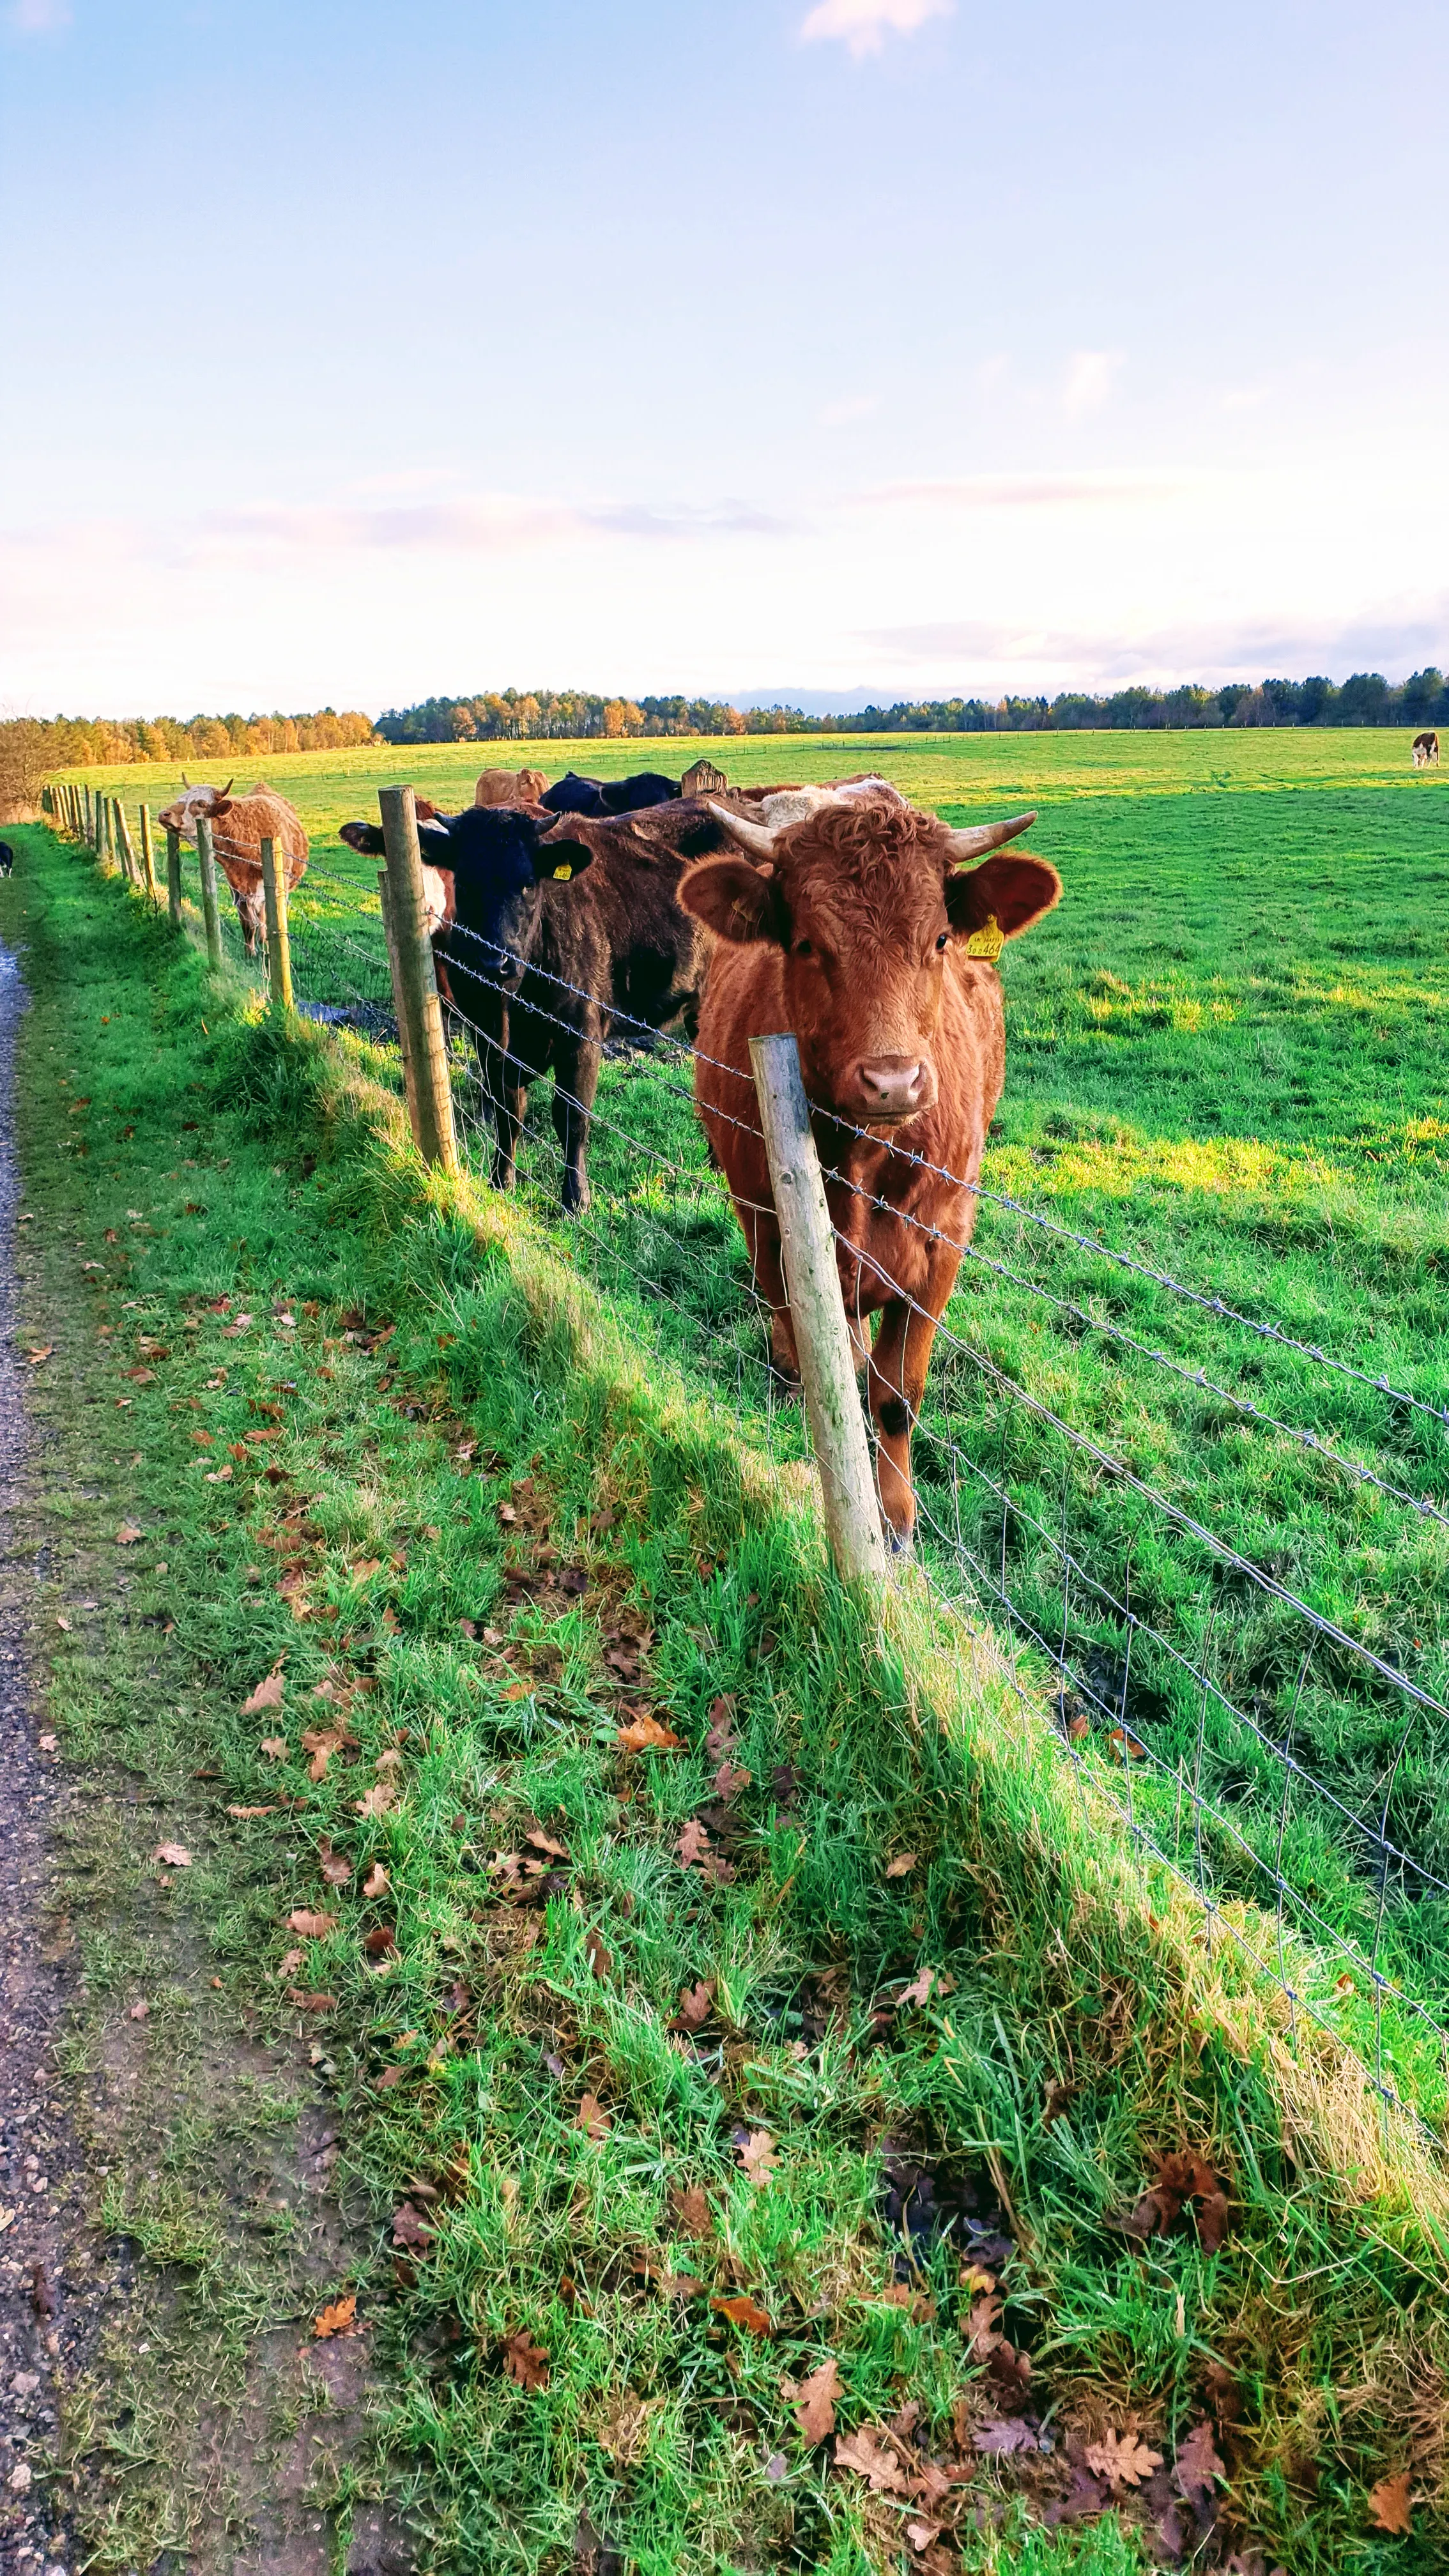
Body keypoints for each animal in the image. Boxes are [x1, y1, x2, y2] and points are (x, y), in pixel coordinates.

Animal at [157, 783, 305, 958]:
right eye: (180, 798)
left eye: (201, 803)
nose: (164, 814)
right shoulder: (236, 889)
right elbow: (247, 923)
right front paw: (250, 953)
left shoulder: (277, 891)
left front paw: (268, 952)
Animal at [332, 798, 727, 1211]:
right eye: (465, 881)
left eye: (528, 883)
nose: (495, 962)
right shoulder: (488, 1038)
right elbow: (508, 1112)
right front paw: (500, 1181)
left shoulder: (581, 1038)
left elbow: (571, 1118)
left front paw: (575, 1199)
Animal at [670, 793, 1057, 1535]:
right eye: (806, 944)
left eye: (940, 941)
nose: (893, 1081)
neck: (865, 1161)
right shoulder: (772, 1228)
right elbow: (827, 1371)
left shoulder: (942, 1248)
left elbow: (896, 1395)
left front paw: (898, 1519)